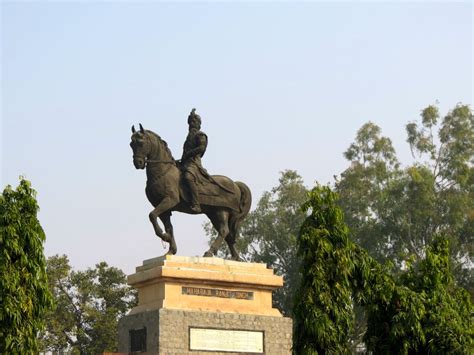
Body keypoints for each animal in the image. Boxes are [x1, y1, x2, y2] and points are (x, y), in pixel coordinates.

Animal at [128, 124, 250, 262]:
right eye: (131, 144)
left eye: (141, 143)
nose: (138, 163)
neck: (162, 172)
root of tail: (235, 184)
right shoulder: (164, 209)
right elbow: (168, 227)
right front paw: (171, 250)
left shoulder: (169, 200)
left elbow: (152, 216)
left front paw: (165, 237)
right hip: (213, 213)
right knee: (227, 234)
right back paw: (235, 258)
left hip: (221, 211)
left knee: (224, 230)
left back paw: (210, 252)